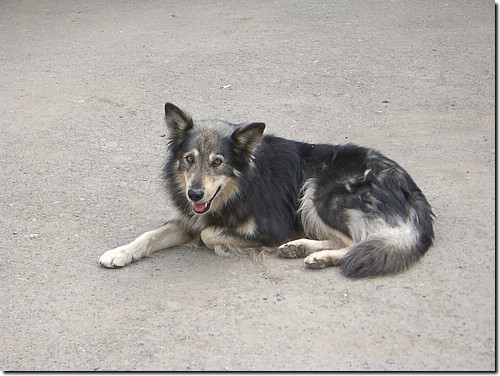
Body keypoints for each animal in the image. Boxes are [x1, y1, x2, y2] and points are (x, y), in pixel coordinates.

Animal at [98, 101, 434, 278]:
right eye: (189, 159)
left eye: (218, 162)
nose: (195, 194)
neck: (239, 187)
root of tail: (407, 183)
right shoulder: (190, 218)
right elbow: (150, 235)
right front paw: (119, 252)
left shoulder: (271, 228)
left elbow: (210, 235)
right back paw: (302, 248)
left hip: (319, 192)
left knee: (356, 241)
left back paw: (317, 255)